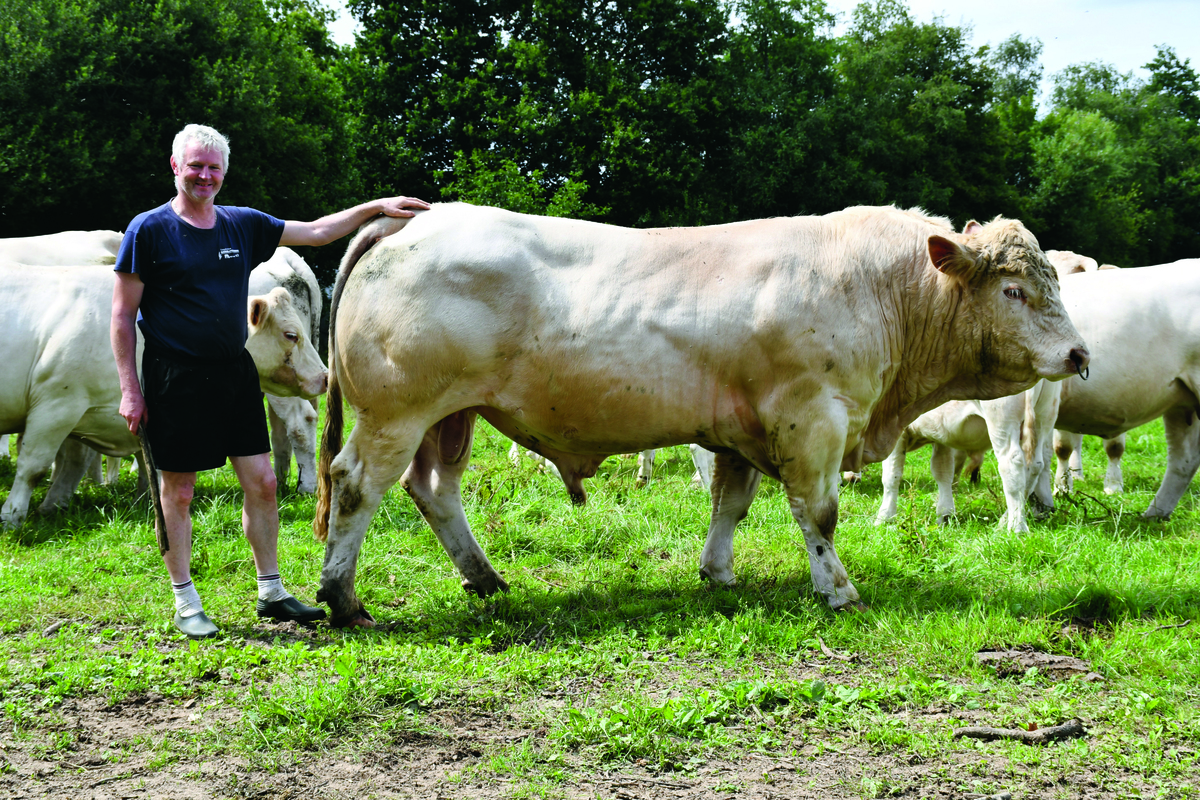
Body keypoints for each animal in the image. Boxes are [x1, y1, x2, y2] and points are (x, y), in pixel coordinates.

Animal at [309, 200, 1089, 623]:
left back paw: (485, 577)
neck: (880, 286)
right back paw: (342, 598)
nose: (1081, 353)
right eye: (1015, 289)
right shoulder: (812, 419)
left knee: (435, 489)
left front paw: (718, 573)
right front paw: (837, 588)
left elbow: (731, 503)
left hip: (451, 416)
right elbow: (818, 514)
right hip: (396, 412)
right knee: (357, 486)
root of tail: (421, 219)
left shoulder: (743, 431)